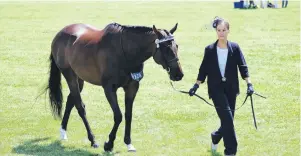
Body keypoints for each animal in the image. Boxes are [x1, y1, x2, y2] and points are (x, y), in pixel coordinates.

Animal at [42, 22, 183, 152]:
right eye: (166, 48)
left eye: (176, 46)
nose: (178, 74)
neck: (125, 52)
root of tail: (60, 33)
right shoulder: (109, 88)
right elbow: (118, 116)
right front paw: (109, 144)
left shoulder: (132, 87)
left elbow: (128, 114)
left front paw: (128, 142)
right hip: (69, 75)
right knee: (80, 107)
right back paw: (92, 140)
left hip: (79, 78)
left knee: (71, 101)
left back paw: (63, 131)